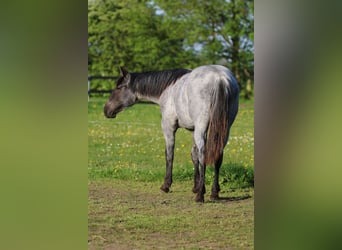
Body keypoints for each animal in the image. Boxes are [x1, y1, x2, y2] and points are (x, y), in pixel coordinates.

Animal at [103, 64, 239, 201]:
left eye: (119, 87)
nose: (106, 110)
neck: (168, 89)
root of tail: (220, 78)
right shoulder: (193, 129)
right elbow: (194, 156)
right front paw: (196, 187)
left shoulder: (168, 127)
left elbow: (169, 155)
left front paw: (166, 185)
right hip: (224, 130)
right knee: (217, 156)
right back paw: (214, 193)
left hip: (202, 128)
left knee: (203, 155)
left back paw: (200, 196)